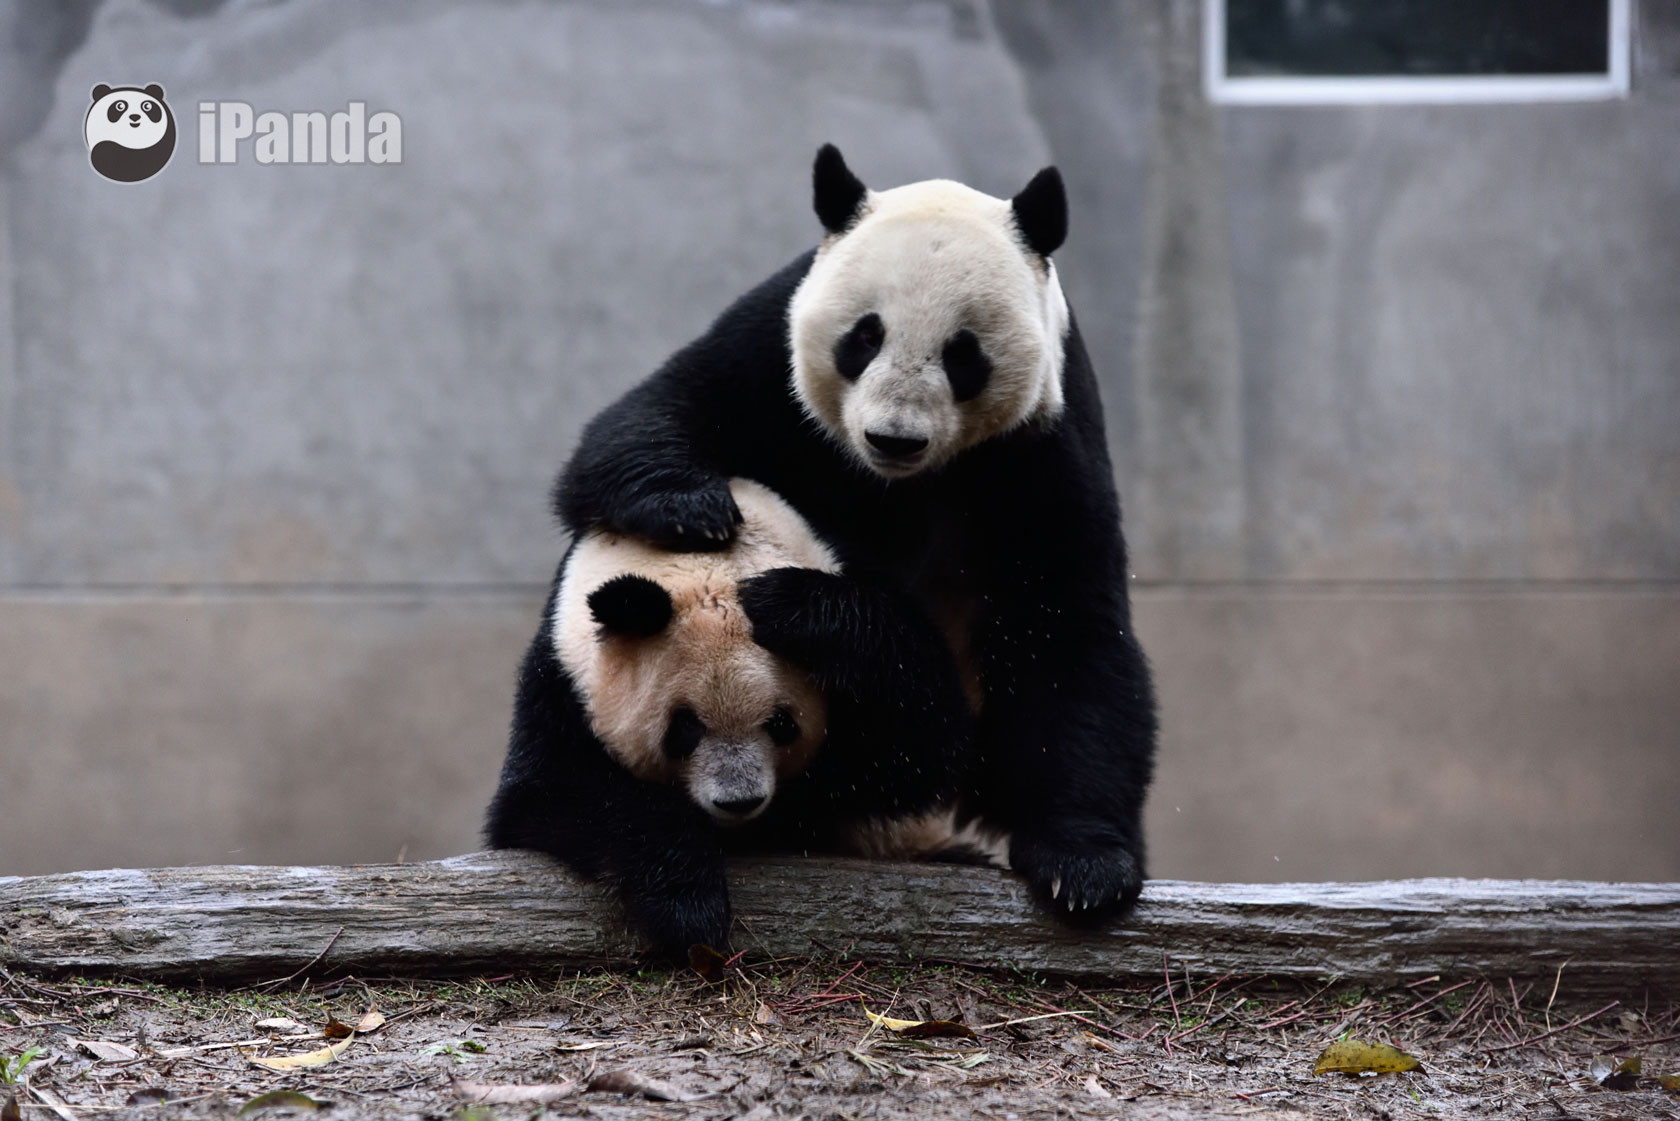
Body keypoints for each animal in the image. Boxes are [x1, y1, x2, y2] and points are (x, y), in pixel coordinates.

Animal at [487, 477, 981, 954]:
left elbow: (926, 740)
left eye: (782, 724)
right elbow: (553, 795)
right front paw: (687, 903)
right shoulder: (562, 679)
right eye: (684, 728)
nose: (739, 801)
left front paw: (800, 608)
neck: (707, 562)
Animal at [557, 144, 1162, 927]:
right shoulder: (766, 352)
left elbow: (1061, 624)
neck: (896, 482)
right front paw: (690, 508)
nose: (893, 437)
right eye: (864, 337)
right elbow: (645, 423)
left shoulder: (1041, 440)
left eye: (962, 353)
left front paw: (1082, 865)